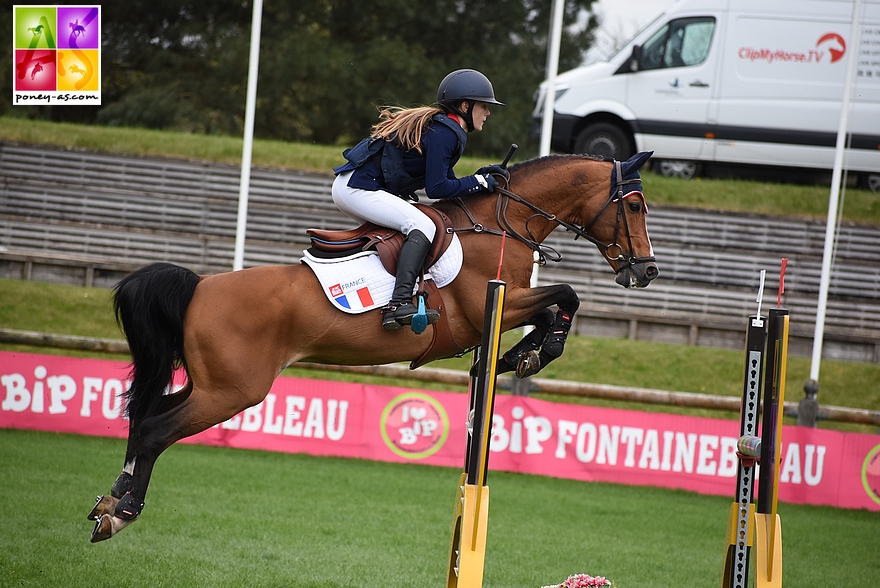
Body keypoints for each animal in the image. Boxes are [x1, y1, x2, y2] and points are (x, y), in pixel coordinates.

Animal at [87, 150, 660, 544]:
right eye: (634, 205)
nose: (647, 270)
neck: (502, 225)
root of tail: (201, 286)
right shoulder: (493, 305)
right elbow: (566, 295)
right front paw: (530, 354)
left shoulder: (506, 306)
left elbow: (555, 305)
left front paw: (520, 357)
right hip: (232, 390)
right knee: (157, 430)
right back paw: (123, 513)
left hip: (211, 385)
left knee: (146, 417)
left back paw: (109, 501)